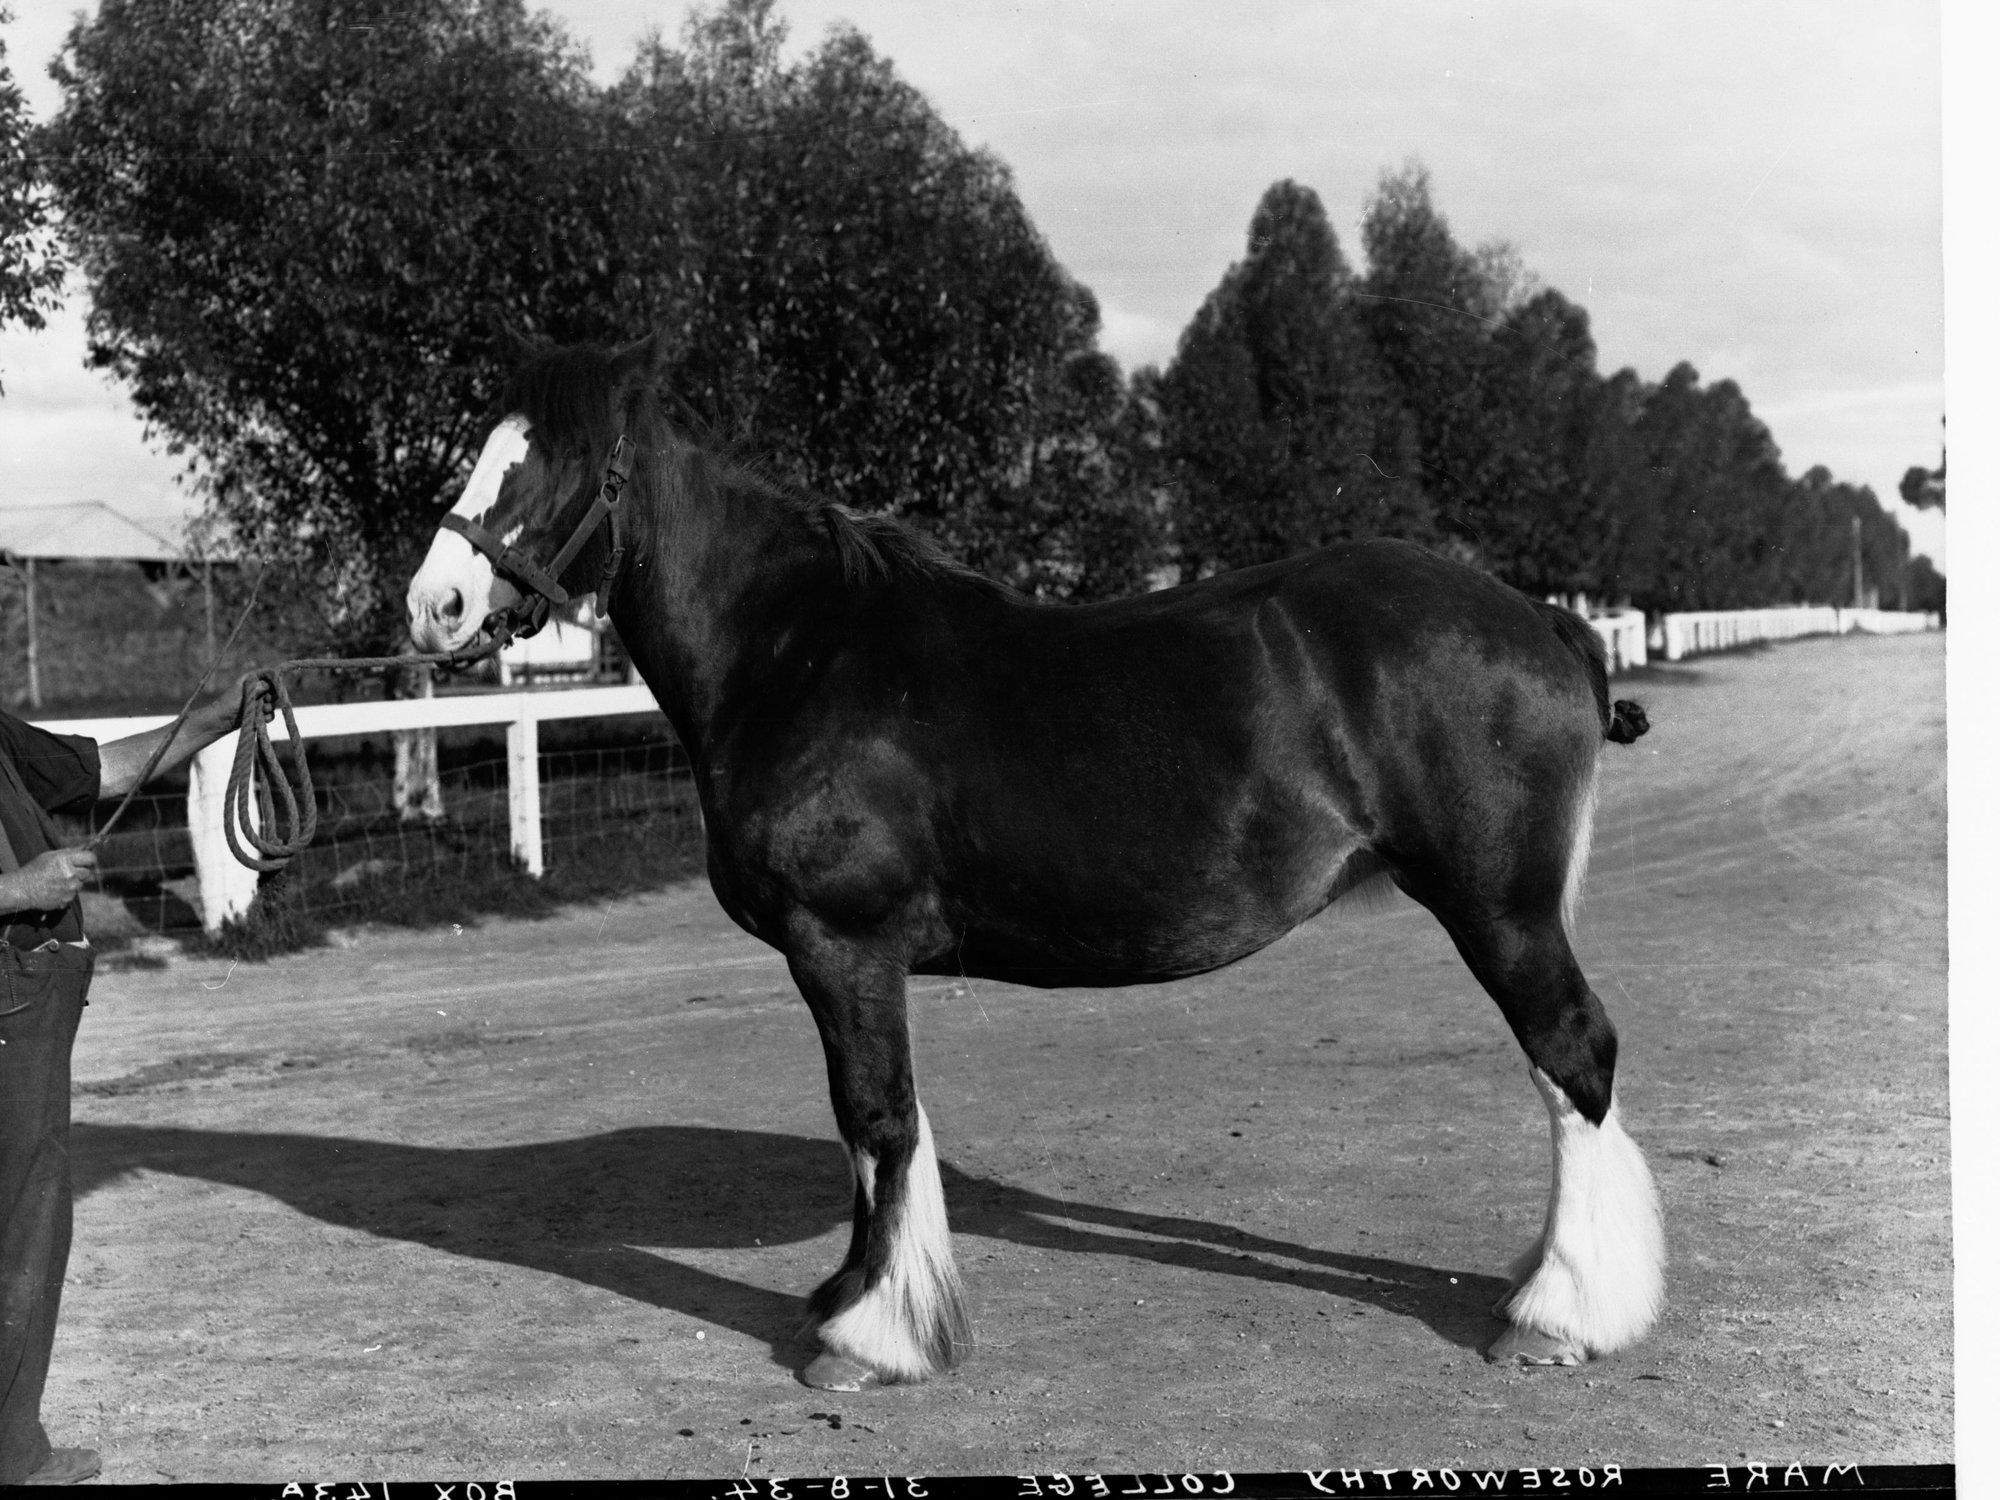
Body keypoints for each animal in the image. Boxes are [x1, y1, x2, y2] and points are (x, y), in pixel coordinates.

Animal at [406, 332, 1665, 1391]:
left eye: (561, 462)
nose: (435, 605)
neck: (801, 653)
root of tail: (1540, 618)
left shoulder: (842, 948)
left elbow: (879, 1120)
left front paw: (870, 1340)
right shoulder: (843, 964)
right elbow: (865, 1132)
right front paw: (847, 1298)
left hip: (1498, 911)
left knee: (1572, 1057)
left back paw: (1557, 1318)